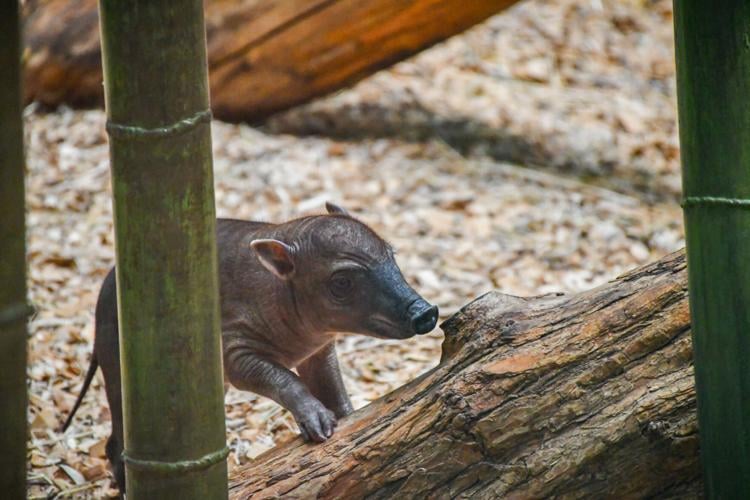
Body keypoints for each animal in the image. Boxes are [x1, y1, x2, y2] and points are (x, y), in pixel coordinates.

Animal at [61, 202, 438, 492]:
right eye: (342, 282)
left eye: (391, 254)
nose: (427, 313)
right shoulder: (234, 351)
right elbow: (285, 378)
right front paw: (317, 424)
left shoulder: (319, 351)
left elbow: (332, 385)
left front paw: (347, 416)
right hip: (117, 365)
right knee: (116, 442)